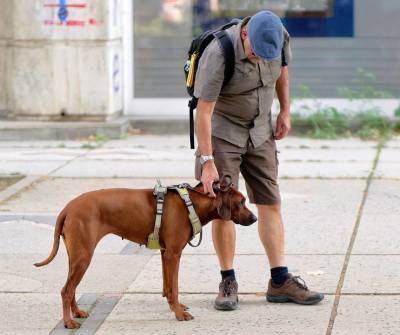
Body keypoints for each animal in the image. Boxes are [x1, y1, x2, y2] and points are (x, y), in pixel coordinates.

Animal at [36, 177, 258, 330]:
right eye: (241, 202)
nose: (255, 218)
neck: (192, 203)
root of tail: (68, 207)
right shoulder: (173, 254)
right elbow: (174, 288)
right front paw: (178, 313)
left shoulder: (165, 253)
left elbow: (169, 286)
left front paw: (176, 307)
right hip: (83, 257)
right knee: (66, 290)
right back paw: (68, 322)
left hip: (76, 256)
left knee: (71, 287)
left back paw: (76, 312)